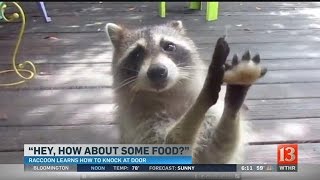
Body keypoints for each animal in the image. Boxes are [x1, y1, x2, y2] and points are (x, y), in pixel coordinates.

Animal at [105, 20, 268, 164]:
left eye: (169, 46)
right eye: (137, 54)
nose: (157, 71)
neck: (168, 94)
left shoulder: (211, 116)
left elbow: (216, 154)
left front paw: (235, 94)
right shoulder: (138, 126)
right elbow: (171, 147)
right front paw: (204, 94)